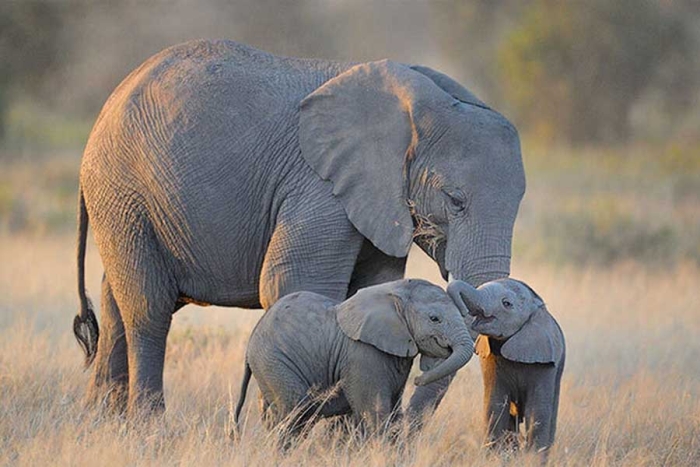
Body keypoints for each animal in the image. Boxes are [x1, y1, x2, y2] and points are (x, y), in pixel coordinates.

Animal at [75, 39, 524, 414]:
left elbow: (371, 288)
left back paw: (103, 423)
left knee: (115, 303)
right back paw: (149, 426)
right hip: (124, 191)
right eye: (455, 200)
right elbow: (293, 282)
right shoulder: (318, 187)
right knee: (147, 309)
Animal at [237, 280, 476, 440]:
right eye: (435, 319)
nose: (418, 379)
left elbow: (393, 411)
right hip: (274, 361)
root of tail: (250, 344)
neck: (394, 292)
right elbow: (375, 413)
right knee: (296, 413)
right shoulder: (363, 355)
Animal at [448, 278, 564, 454]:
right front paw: (496, 455)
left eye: (507, 304)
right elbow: (495, 406)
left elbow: (536, 412)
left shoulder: (545, 363)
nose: (462, 311)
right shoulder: (490, 358)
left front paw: (532, 457)